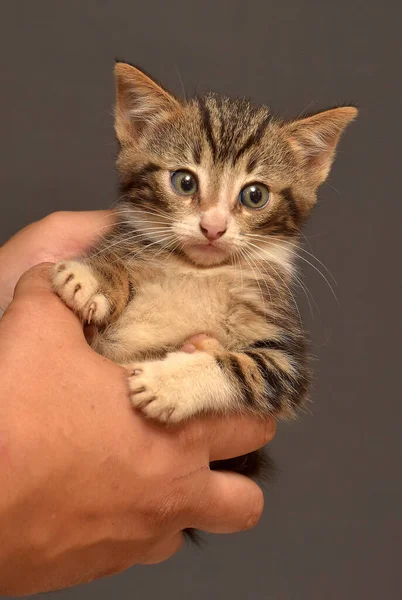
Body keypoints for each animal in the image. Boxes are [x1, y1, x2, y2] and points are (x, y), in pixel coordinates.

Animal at [51, 62, 356, 478]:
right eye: (184, 181)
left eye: (255, 195)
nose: (213, 227)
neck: (197, 273)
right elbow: (118, 262)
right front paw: (94, 278)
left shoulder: (288, 362)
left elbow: (243, 367)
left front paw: (170, 382)